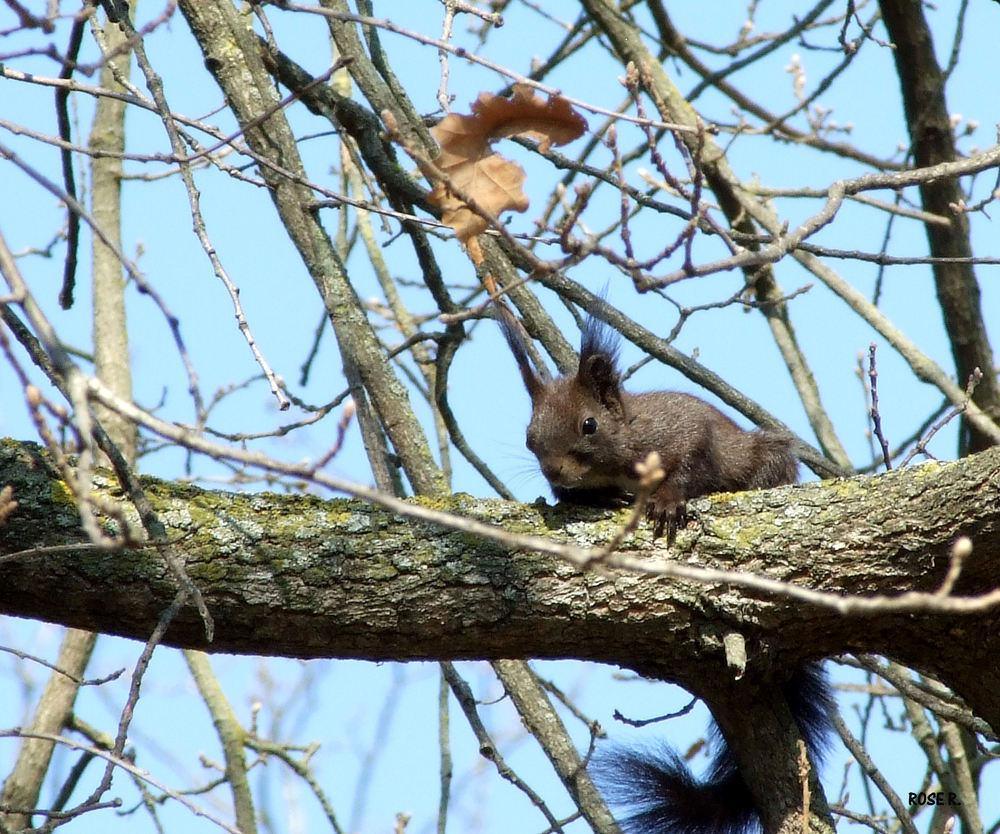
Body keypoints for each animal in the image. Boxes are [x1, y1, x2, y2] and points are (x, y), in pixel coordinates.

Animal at [496, 308, 832, 832]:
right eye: (529, 437)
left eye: (589, 425)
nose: (554, 472)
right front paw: (591, 498)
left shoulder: (685, 434)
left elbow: (691, 464)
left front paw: (669, 501)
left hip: (769, 457)